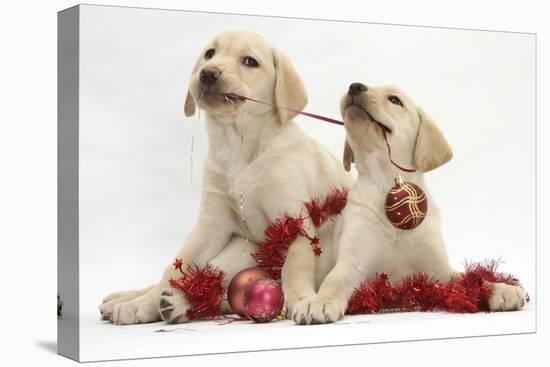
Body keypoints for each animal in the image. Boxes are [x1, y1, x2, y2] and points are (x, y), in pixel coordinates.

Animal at [99, 31, 352, 324]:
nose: (208, 73)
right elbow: (176, 267)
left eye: (250, 61)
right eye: (210, 54)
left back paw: (172, 304)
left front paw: (302, 299)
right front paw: (144, 302)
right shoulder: (211, 224)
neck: (237, 148)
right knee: (199, 282)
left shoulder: (295, 218)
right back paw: (135, 301)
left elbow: (295, 264)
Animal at [292, 82, 528, 324]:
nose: (355, 86)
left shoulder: (439, 269)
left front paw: (498, 288)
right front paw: (319, 301)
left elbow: (469, 279)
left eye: (395, 100)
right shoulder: (352, 261)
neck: (387, 178)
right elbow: (334, 281)